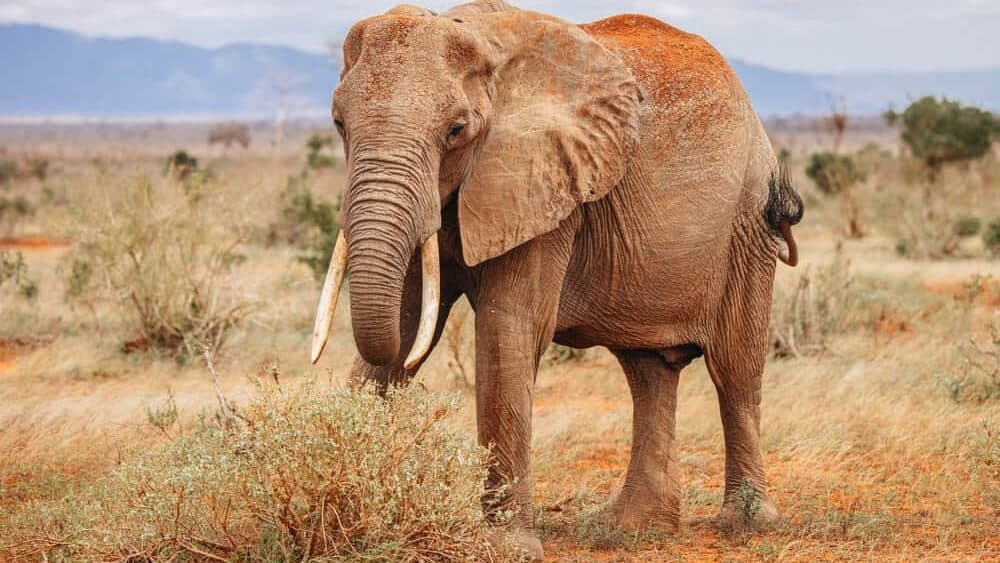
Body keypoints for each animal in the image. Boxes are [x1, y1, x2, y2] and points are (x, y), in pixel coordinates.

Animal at [310, 1, 804, 558]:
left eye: (456, 130)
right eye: (339, 123)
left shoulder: (548, 184)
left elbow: (508, 329)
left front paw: (508, 549)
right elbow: (407, 321)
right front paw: (337, 521)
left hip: (747, 223)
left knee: (734, 371)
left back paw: (746, 523)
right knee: (648, 371)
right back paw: (636, 529)